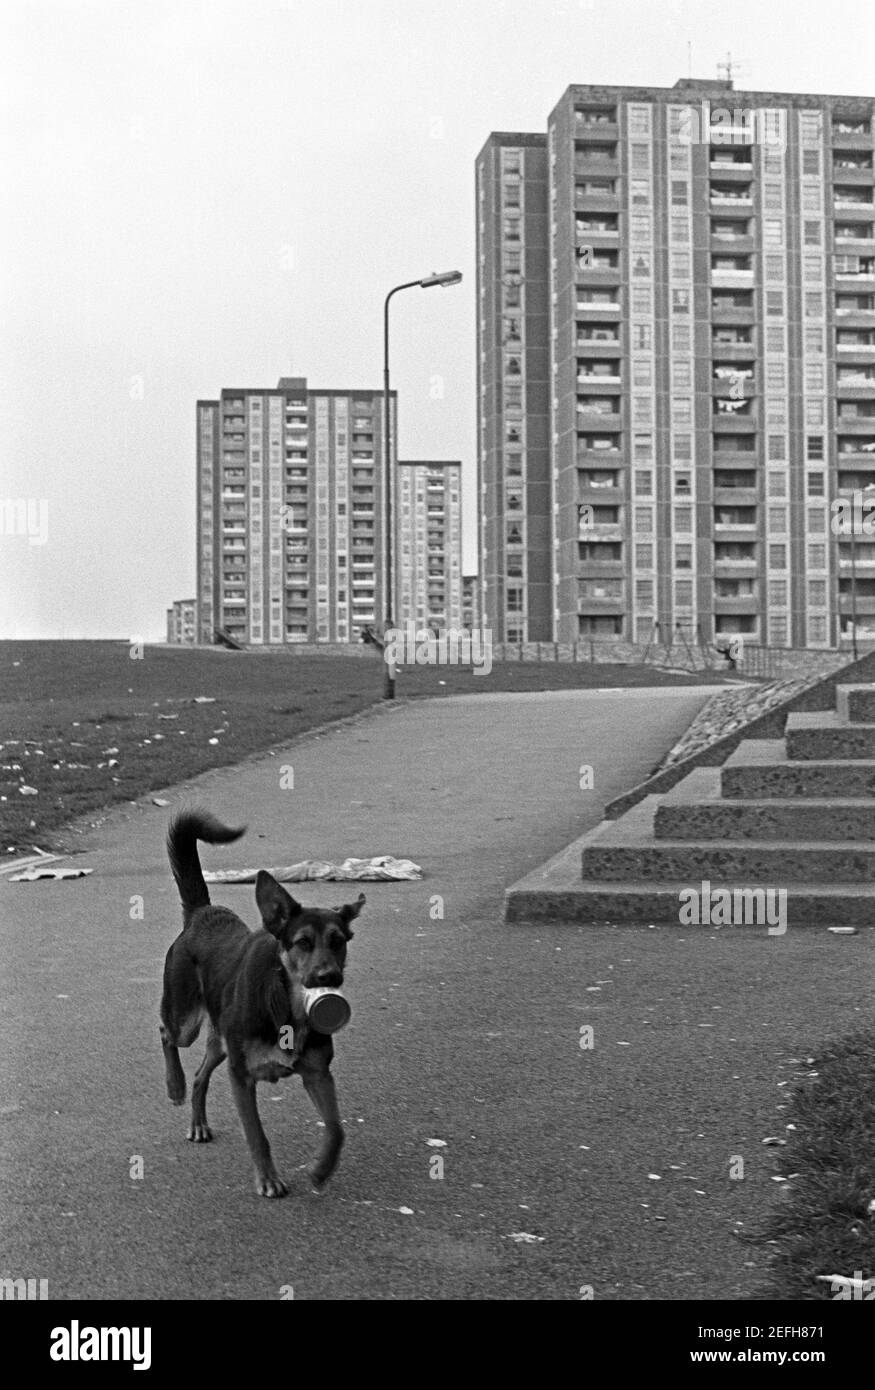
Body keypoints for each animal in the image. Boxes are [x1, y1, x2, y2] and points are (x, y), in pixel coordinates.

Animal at [158, 811, 364, 1200]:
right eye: (302, 942)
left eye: (338, 941)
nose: (328, 976)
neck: (287, 1005)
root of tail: (202, 913)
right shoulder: (241, 1077)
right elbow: (257, 1135)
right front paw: (268, 1179)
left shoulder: (318, 1073)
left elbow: (336, 1128)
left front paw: (320, 1169)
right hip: (186, 1020)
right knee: (165, 1033)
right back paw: (174, 1086)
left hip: (221, 1041)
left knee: (201, 1074)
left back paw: (198, 1122)